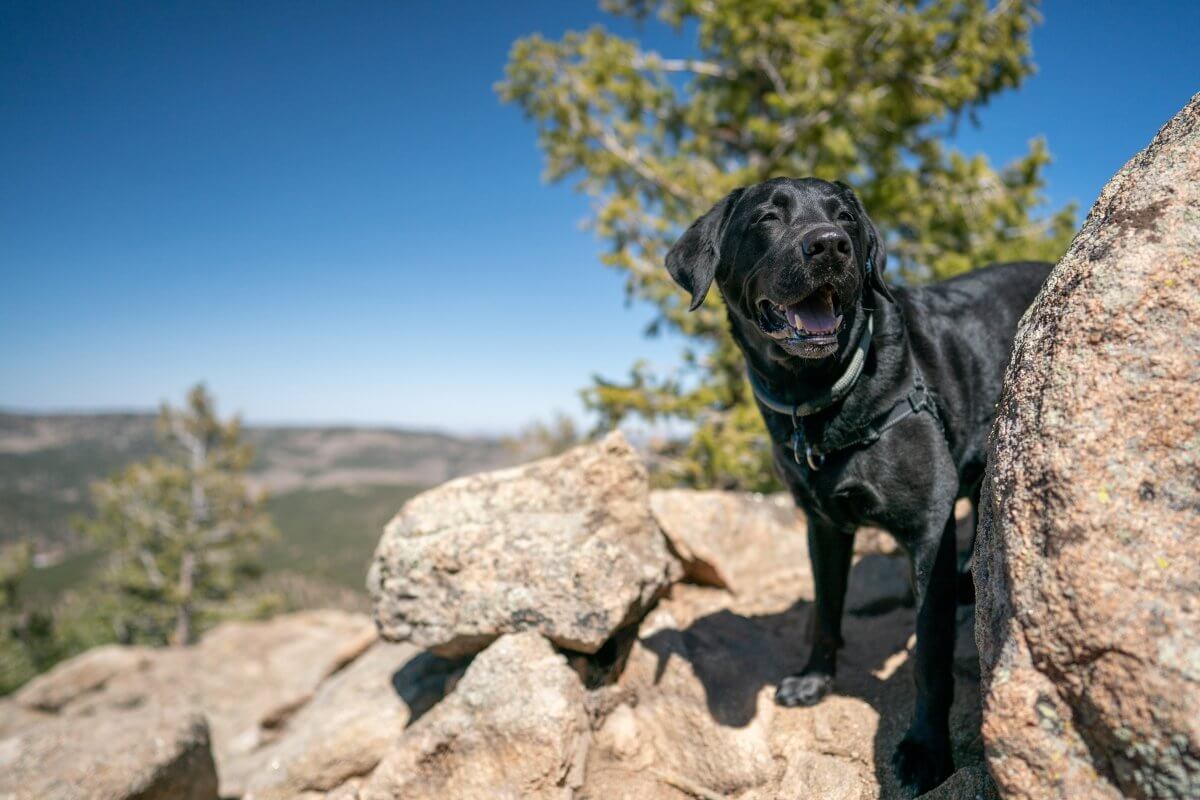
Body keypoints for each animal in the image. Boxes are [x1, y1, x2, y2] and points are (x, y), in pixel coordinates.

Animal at [667, 176, 1051, 796]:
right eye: (768, 218)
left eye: (846, 217)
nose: (829, 245)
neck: (820, 395)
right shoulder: (823, 526)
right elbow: (826, 611)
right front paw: (814, 679)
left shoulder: (928, 529)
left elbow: (929, 658)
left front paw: (926, 751)